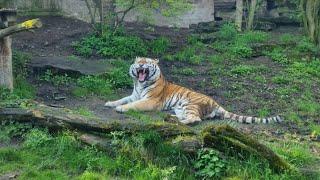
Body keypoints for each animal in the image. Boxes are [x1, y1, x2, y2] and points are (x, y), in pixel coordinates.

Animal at [104, 57, 282, 124]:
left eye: (147, 62)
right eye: (138, 61)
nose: (140, 65)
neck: (140, 84)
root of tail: (215, 102)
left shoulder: (150, 101)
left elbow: (133, 105)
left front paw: (120, 108)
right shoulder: (134, 95)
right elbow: (122, 99)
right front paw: (110, 103)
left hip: (189, 104)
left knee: (195, 119)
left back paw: (178, 122)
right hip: (180, 107)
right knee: (193, 117)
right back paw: (171, 118)